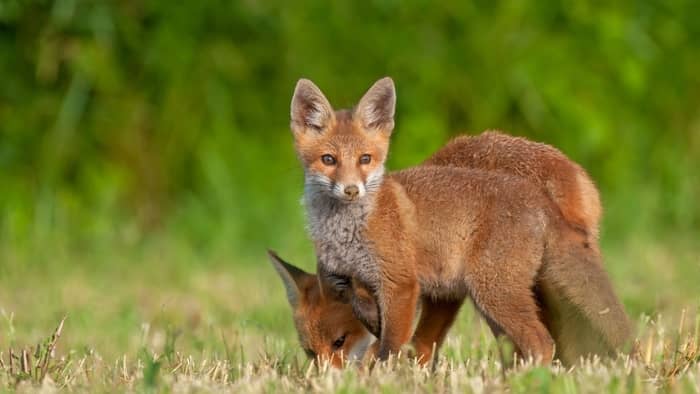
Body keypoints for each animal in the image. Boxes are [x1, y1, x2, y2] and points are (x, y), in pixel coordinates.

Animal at [272, 77, 628, 366]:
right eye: (309, 352)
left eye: (340, 341)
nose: (350, 190)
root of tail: (572, 177)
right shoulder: (434, 291)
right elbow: (409, 340)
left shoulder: (418, 286)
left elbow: (405, 343)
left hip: (493, 287)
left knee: (542, 341)